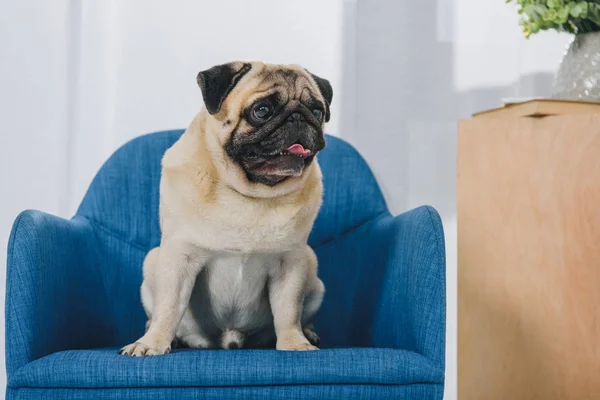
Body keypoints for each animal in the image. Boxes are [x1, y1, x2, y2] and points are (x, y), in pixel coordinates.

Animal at [119, 60, 330, 356]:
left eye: (318, 111)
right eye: (261, 110)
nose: (299, 117)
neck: (249, 194)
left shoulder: (291, 263)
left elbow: (288, 311)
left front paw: (294, 343)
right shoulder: (179, 258)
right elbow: (168, 307)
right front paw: (152, 343)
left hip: (313, 270)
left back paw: (308, 332)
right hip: (152, 262)